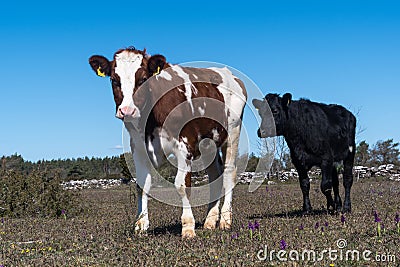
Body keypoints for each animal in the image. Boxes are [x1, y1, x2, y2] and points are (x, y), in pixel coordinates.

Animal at [89, 46, 247, 239]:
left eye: (143, 79)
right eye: (114, 80)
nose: (127, 110)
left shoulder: (185, 145)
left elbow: (181, 185)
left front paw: (188, 227)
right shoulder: (139, 148)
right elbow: (141, 185)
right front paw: (141, 225)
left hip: (232, 132)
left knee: (229, 173)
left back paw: (225, 220)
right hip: (209, 144)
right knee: (215, 174)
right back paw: (210, 220)